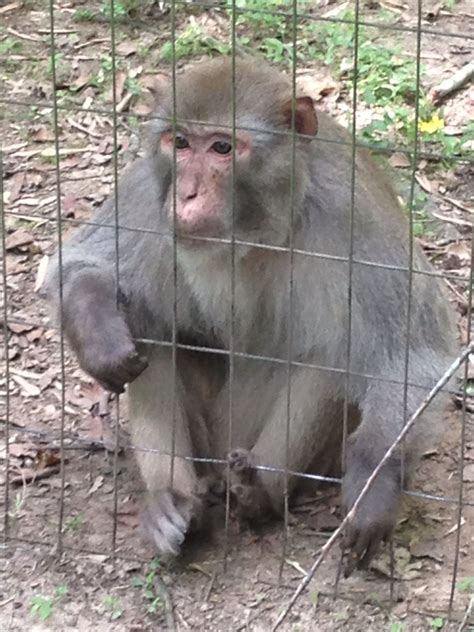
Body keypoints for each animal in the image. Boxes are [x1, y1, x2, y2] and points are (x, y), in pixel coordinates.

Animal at [45, 56, 460, 576]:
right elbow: (81, 264)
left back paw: (260, 492)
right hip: (208, 441)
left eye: (223, 148)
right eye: (179, 143)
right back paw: (174, 501)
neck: (254, 231)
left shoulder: (351, 212)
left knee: (331, 355)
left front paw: (375, 485)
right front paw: (101, 339)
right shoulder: (147, 188)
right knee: (154, 331)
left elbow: (410, 353)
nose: (186, 195)